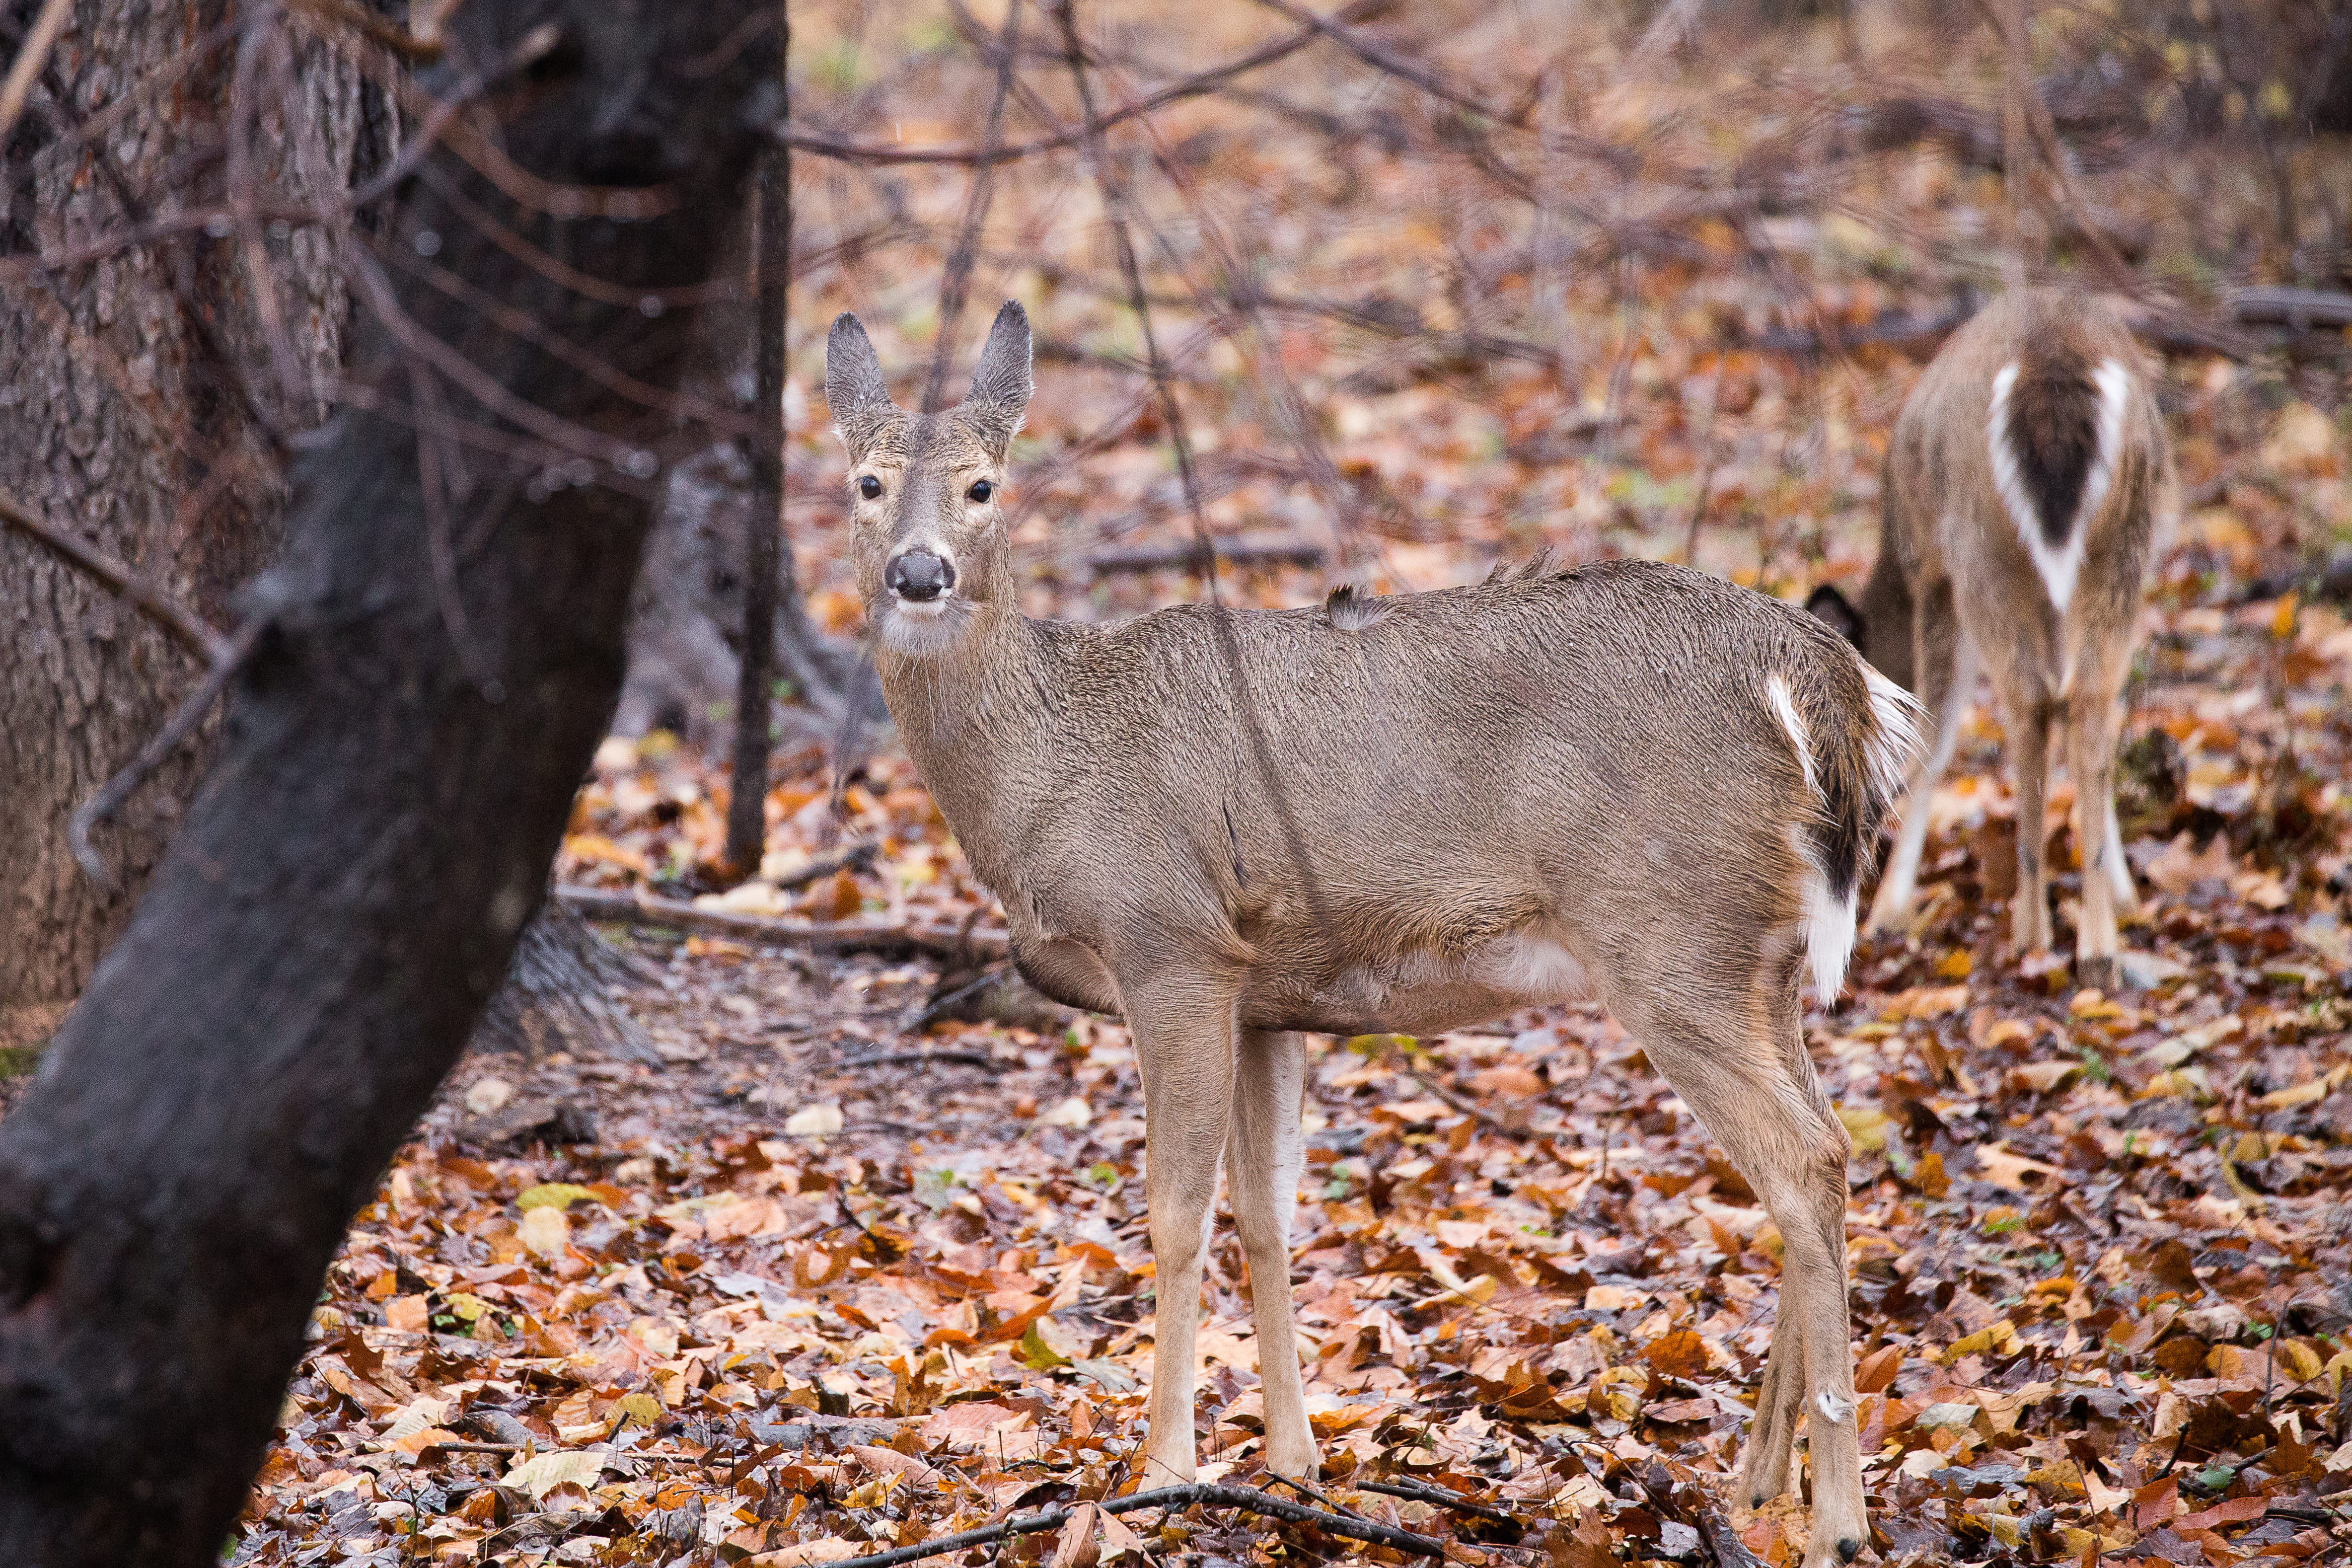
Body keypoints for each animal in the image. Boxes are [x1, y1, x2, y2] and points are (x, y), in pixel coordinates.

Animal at [827, 301, 1921, 1567]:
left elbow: (1174, 1212)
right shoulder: (1262, 991)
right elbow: (1266, 1213)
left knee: (1802, 1162)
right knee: (1828, 1150)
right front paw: (1292, 1463)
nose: (918, 572)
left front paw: (1164, 1469)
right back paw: (1754, 1488)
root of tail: (1824, 676)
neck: (1042, 767)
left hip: (1669, 934)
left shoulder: (1171, 940)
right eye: (865, 481)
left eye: (983, 484)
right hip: (1761, 958)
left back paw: (1835, 1516)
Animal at [1808, 289, 2174, 988]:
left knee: (2030, 700)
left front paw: (1890, 910)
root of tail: (2053, 361)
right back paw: (2098, 942)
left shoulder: (1930, 571)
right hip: (2123, 540)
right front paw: (2122, 890)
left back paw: (2033, 928)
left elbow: (1931, 730)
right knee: (2087, 699)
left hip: (1979, 543)